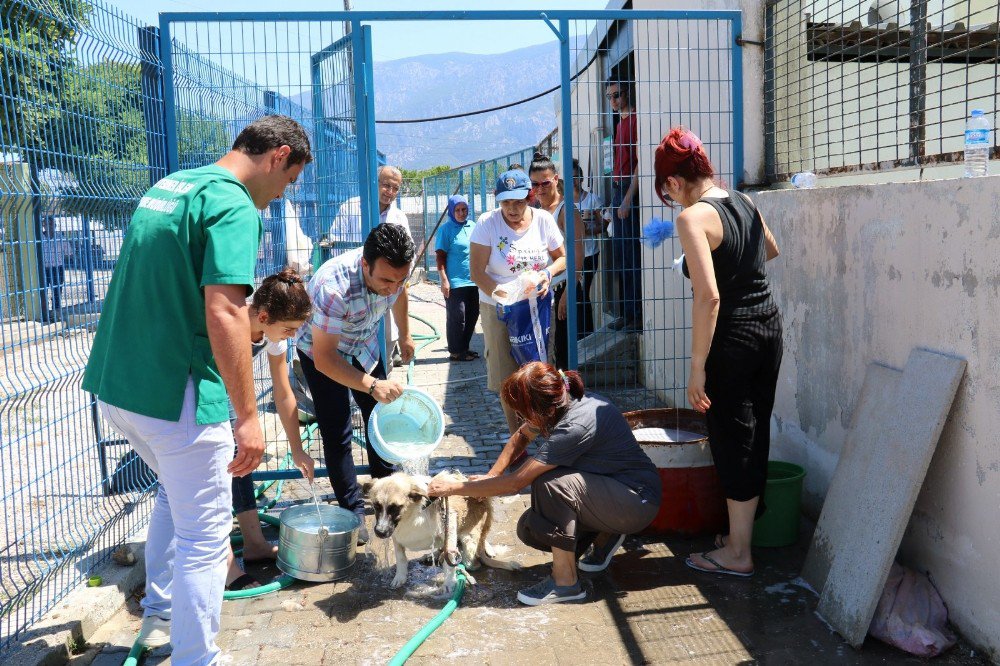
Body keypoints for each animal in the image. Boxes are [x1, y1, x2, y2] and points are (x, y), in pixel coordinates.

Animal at [368, 466, 524, 592]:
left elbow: (449, 562)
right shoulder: (397, 538)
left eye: (395, 508)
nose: (380, 532)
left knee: (472, 562)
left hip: (469, 542)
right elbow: (401, 559)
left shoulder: (449, 525)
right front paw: (399, 578)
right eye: (376, 506)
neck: (413, 514)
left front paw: (449, 583)